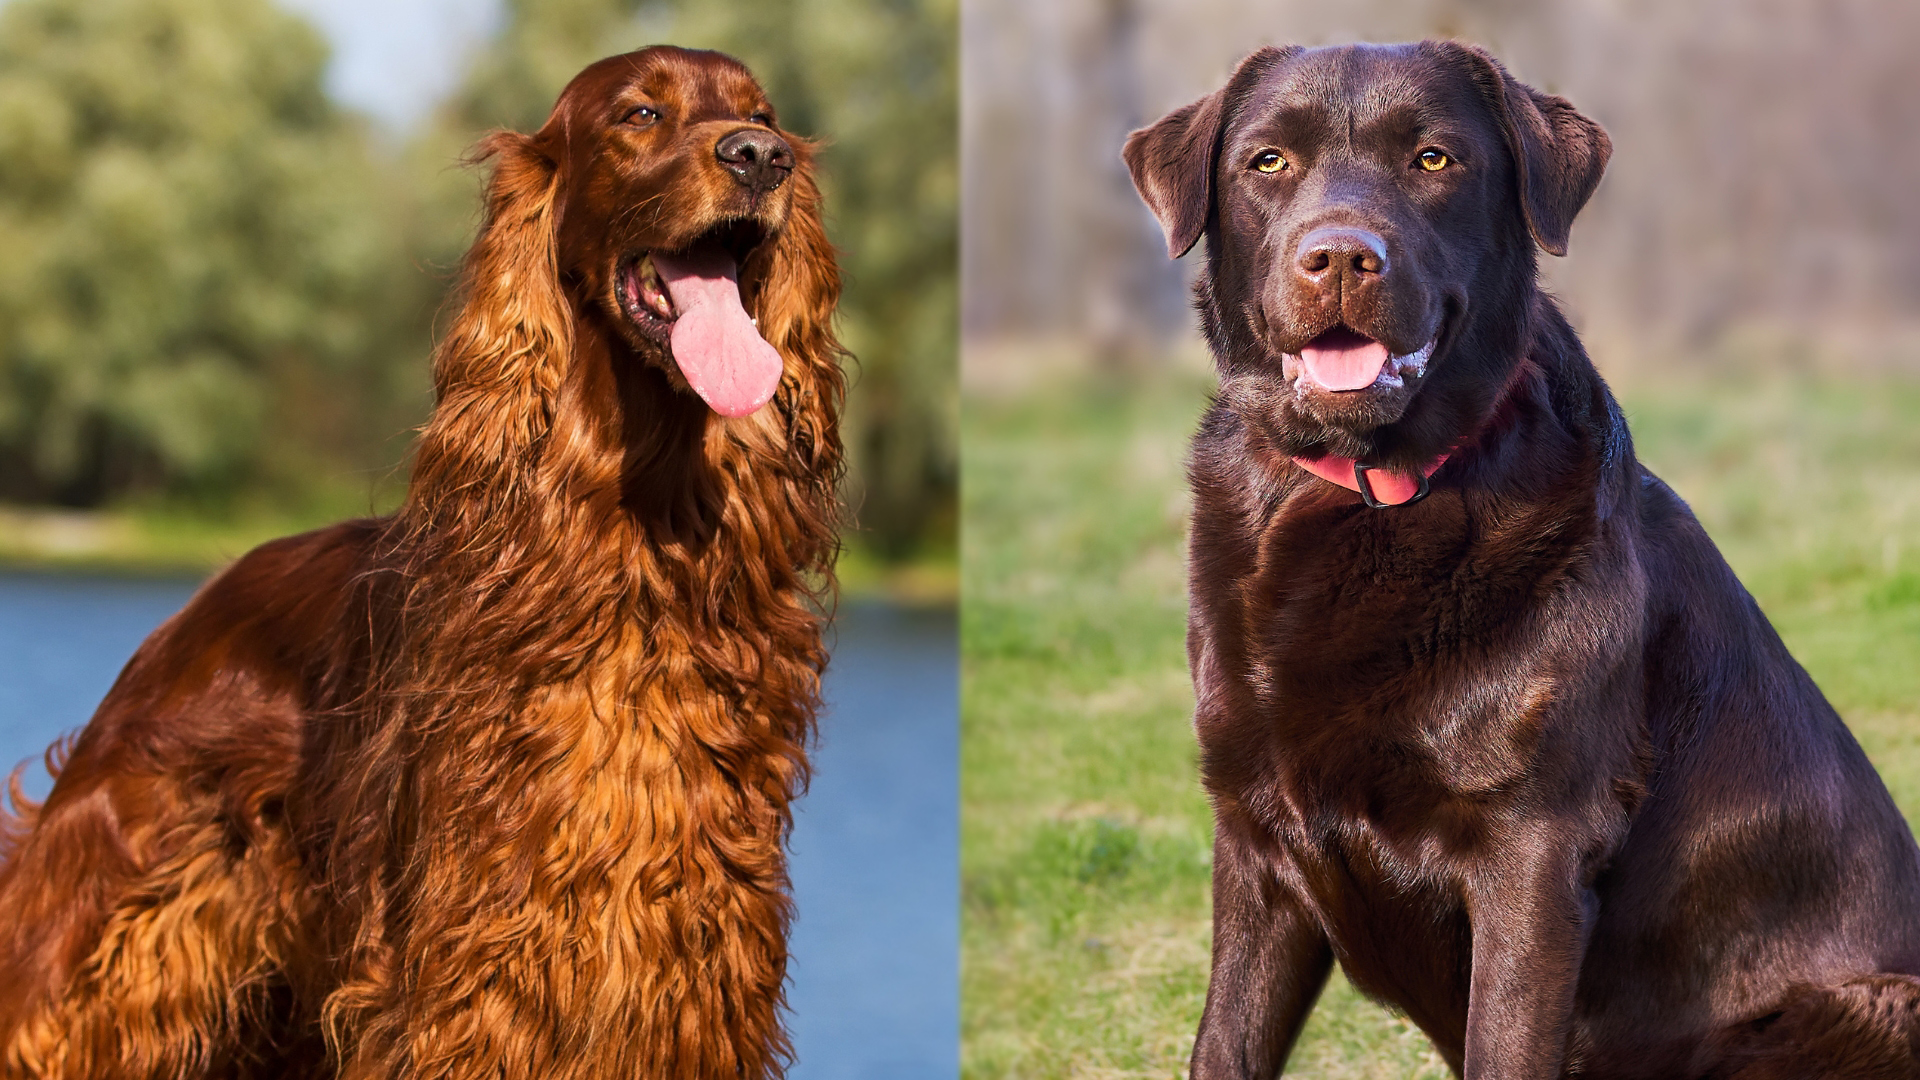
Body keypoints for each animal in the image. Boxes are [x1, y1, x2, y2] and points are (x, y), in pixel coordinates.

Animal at [0, 46, 848, 1068]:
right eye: (640, 114)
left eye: (763, 114)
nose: (762, 157)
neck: (636, 549)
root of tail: (185, 619)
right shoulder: (473, 982)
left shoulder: (695, 977)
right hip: (91, 965)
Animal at [1121, 37, 1920, 1068]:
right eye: (1268, 162)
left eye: (1433, 159)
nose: (1339, 256)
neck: (1367, 493)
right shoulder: (1256, 839)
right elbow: (1224, 1045)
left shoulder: (1532, 852)